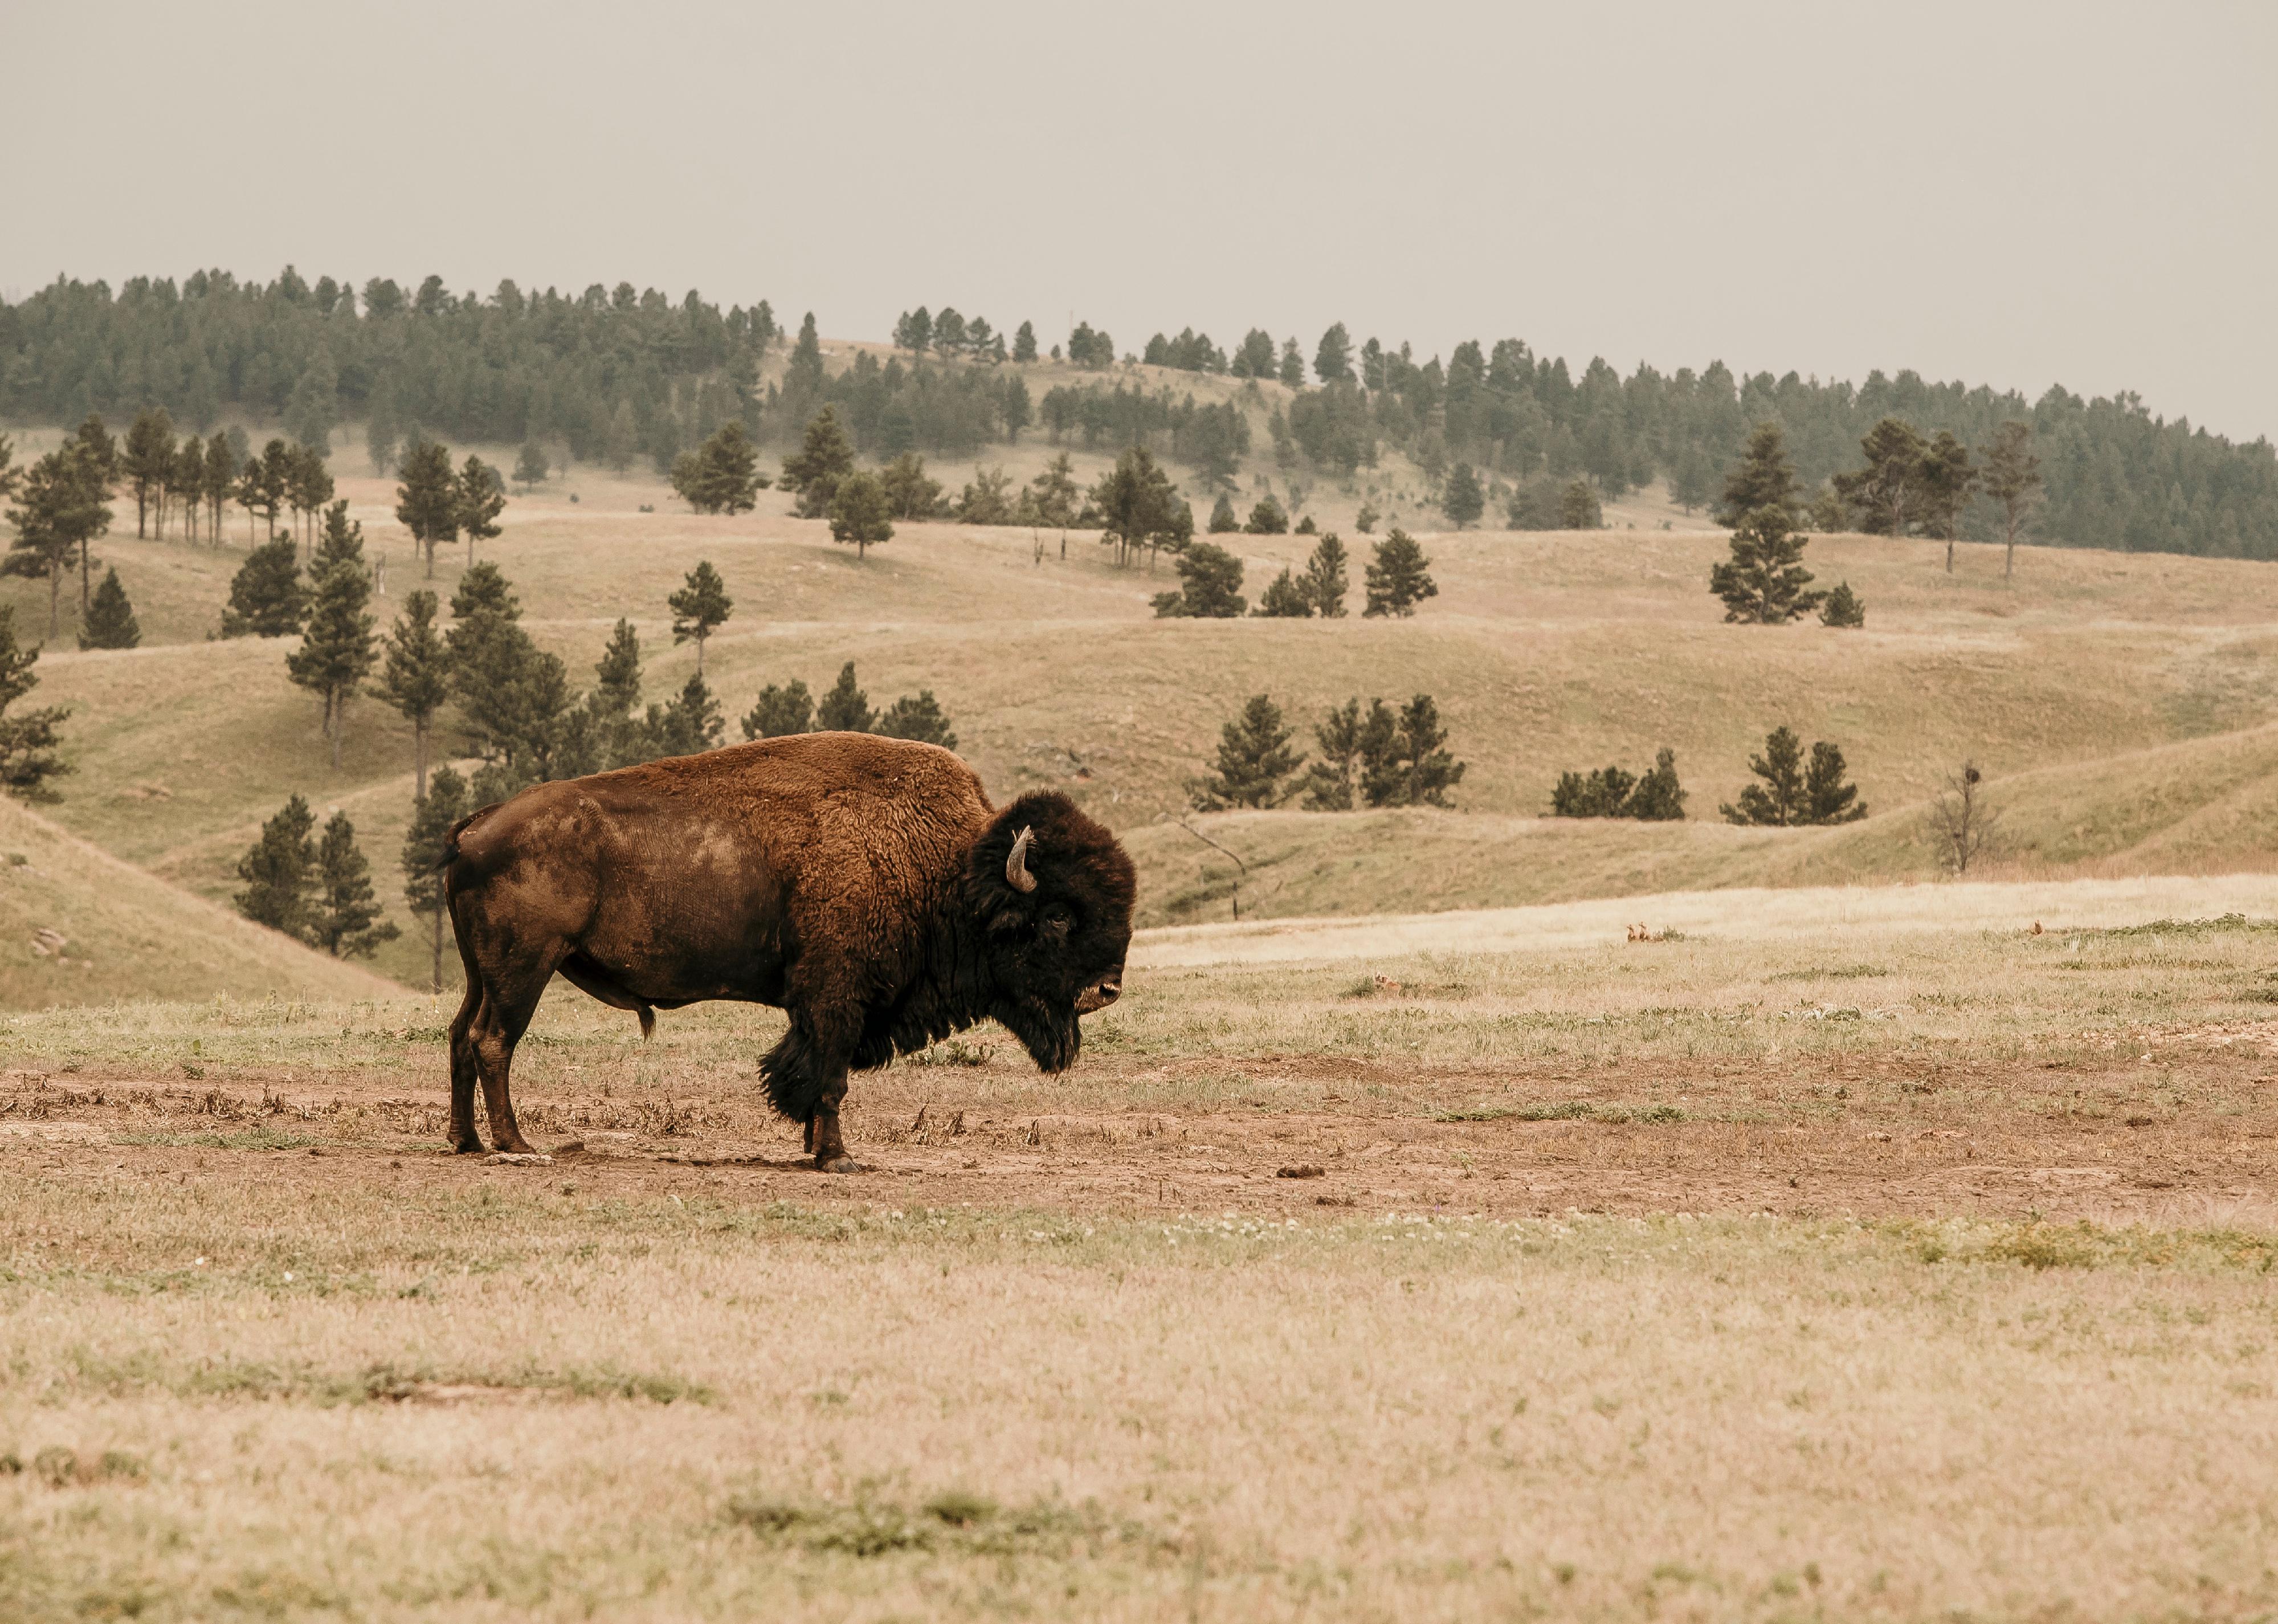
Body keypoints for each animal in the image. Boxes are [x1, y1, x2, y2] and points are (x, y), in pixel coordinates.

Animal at [439, 733, 1135, 1169]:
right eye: (1056, 917)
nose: (1107, 990)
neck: (950, 868)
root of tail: (479, 823)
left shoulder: (826, 1004)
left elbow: (809, 1071)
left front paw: (811, 1147)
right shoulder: (838, 997)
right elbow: (828, 1075)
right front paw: (837, 1158)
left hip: (482, 973)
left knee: (459, 1036)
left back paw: (466, 1141)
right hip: (525, 968)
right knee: (493, 1042)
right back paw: (516, 1145)